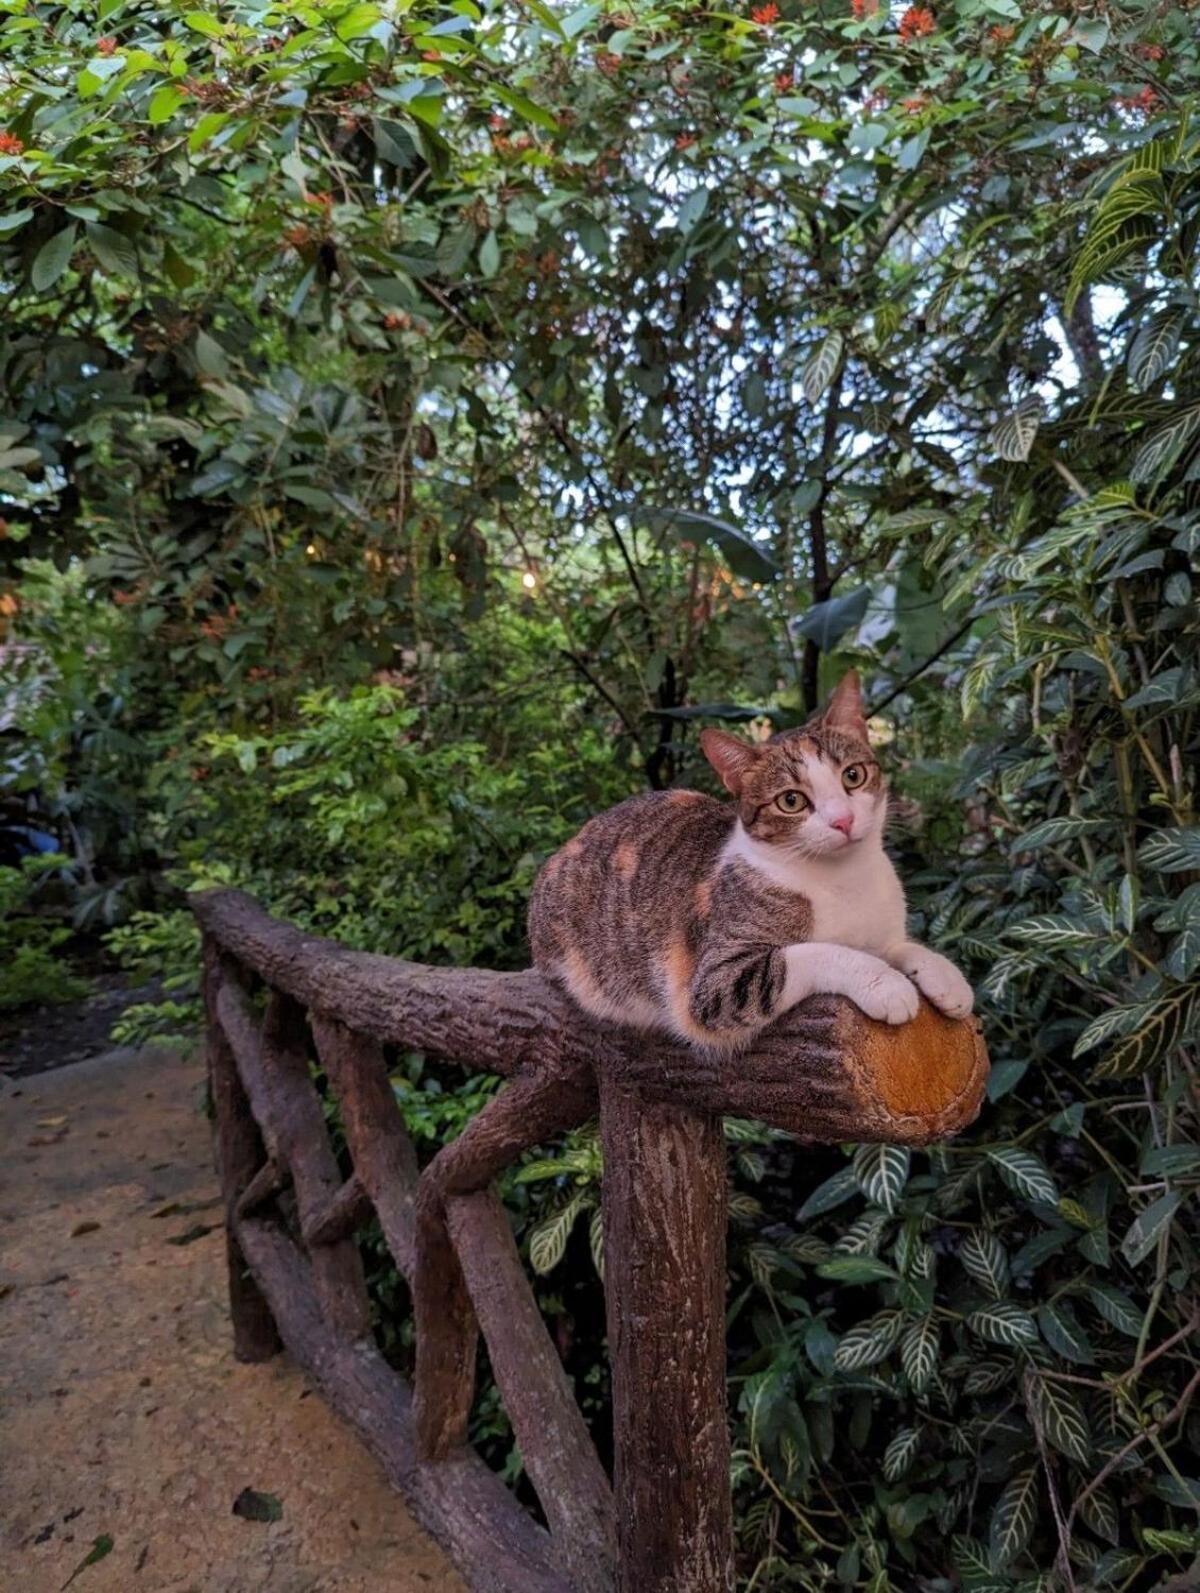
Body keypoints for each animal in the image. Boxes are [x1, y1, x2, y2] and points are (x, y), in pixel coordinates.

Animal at [532, 669, 975, 1051]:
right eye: (791, 801)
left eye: (853, 776)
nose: (843, 820)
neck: (844, 879)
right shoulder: (714, 984)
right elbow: (814, 954)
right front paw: (886, 984)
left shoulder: (882, 931)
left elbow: (902, 946)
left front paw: (945, 975)